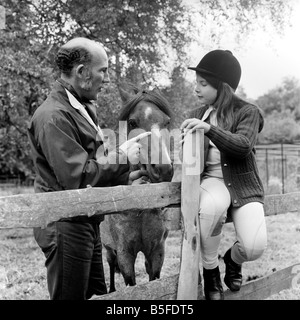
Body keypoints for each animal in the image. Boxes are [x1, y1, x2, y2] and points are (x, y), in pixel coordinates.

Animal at [99, 85, 173, 292]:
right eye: (132, 122)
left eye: (167, 121)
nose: (163, 169)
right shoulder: (125, 254)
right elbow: (130, 283)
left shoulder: (157, 251)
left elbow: (154, 279)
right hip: (109, 249)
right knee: (110, 265)